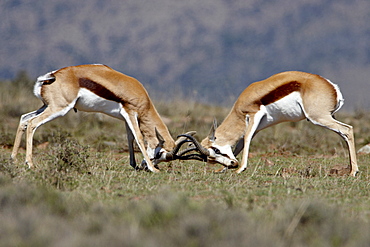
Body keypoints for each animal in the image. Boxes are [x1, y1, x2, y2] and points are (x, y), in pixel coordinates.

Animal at [10, 63, 194, 172]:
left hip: (46, 106)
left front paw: (133, 164)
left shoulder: (126, 118)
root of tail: (50, 76)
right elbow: (139, 138)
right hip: (59, 108)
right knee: (32, 123)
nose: (145, 165)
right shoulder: (130, 112)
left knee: (24, 119)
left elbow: (130, 138)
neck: (142, 96)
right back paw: (30, 164)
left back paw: (13, 159)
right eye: (159, 154)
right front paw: (152, 168)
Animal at [184, 70, 358, 177]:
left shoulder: (254, 115)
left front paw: (240, 169)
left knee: (347, 129)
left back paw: (353, 172)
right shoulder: (258, 125)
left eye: (216, 150)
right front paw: (223, 169)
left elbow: (246, 139)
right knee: (344, 133)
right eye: (211, 159)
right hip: (328, 117)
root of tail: (332, 87)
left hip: (318, 117)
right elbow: (241, 143)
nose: (233, 164)